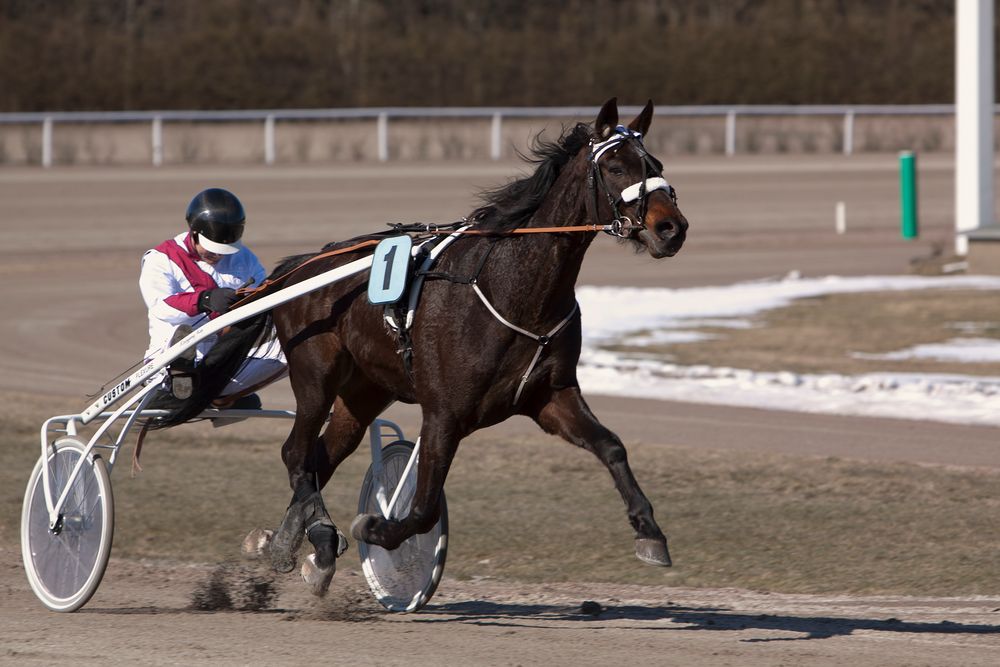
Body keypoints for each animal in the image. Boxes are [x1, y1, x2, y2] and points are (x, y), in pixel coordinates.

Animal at [156, 96, 688, 588]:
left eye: (657, 166)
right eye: (616, 166)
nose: (672, 228)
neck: (512, 289)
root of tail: (300, 267)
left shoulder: (549, 396)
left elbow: (612, 447)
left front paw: (650, 533)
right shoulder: (445, 413)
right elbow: (425, 506)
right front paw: (374, 528)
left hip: (365, 390)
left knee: (321, 457)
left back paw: (292, 545)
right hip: (315, 375)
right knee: (296, 455)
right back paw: (319, 537)